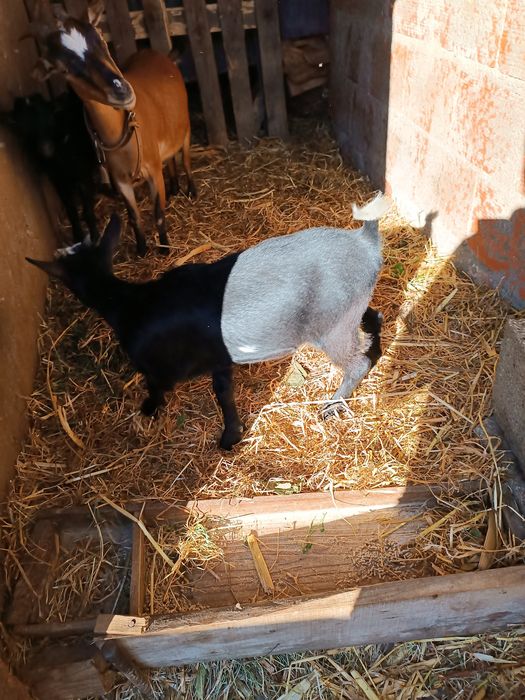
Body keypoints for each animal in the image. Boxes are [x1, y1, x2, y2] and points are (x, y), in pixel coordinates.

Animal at [3, 90, 101, 242]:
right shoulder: (57, 180)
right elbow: (70, 208)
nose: (45, 150)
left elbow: (88, 206)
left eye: (51, 120)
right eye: (25, 130)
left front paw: (95, 236)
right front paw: (78, 236)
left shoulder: (82, 172)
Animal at [27, 194, 390, 450]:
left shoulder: (158, 369)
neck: (131, 302)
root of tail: (365, 243)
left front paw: (148, 412)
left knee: (356, 362)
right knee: (374, 320)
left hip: (331, 326)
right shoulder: (219, 359)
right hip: (352, 310)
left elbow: (159, 390)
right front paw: (231, 435)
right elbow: (224, 393)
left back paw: (331, 406)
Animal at [29, 0, 196, 256]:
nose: (121, 91)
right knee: (170, 158)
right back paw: (175, 187)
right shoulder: (120, 180)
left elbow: (158, 213)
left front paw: (165, 248)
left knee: (185, 156)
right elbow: (134, 216)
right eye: (63, 69)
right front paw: (141, 249)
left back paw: (190, 190)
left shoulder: (152, 170)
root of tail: (158, 54)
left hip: (184, 126)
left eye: (101, 39)